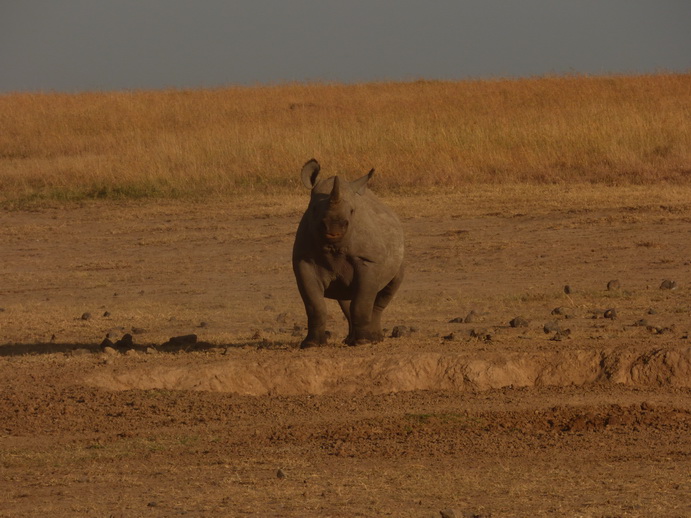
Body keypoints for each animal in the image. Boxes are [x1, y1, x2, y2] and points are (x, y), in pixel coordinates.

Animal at [292, 159, 406, 350]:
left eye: (352, 211)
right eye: (313, 209)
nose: (334, 227)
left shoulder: (368, 260)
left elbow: (362, 302)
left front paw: (364, 342)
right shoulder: (304, 261)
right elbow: (314, 305)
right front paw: (311, 344)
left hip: (401, 253)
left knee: (385, 292)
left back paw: (374, 339)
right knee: (346, 298)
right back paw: (350, 340)